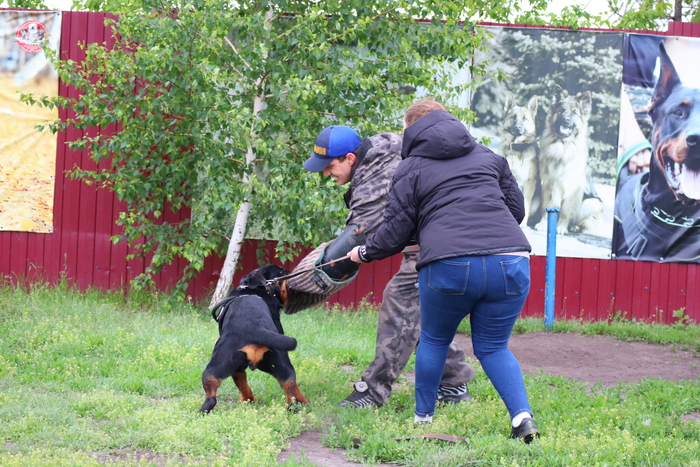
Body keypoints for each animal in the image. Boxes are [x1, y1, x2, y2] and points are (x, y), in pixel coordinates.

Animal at [199, 264, 310, 413]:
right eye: (281, 271)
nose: (293, 272)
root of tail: (254, 328)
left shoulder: (237, 369)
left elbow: (242, 384)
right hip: (281, 361)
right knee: (290, 387)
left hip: (216, 367)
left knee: (211, 395)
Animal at [499, 92, 540, 227]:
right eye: (513, 117)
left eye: (525, 118)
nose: (517, 127)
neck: (516, 149)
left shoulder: (529, 184)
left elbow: (525, 205)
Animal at [535, 85, 603, 234]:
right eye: (561, 110)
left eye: (574, 113)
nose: (566, 119)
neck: (562, 146)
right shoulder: (549, 184)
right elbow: (548, 206)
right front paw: (543, 224)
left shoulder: (571, 188)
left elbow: (566, 211)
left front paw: (561, 227)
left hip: (592, 202)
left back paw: (573, 227)